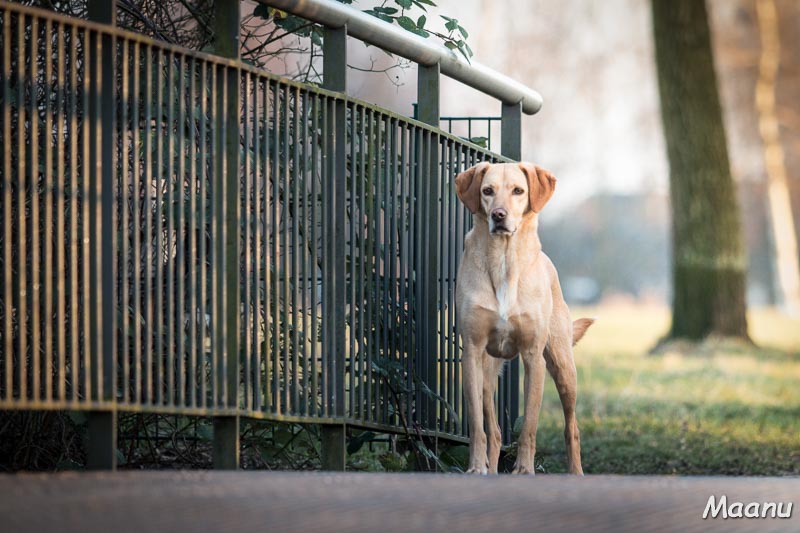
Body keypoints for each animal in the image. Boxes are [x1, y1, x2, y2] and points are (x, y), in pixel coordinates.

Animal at [454, 161, 592, 474]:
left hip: (563, 368)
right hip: (487, 372)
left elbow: (529, 424)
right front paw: (476, 467)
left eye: (518, 191)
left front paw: (525, 469)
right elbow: (477, 425)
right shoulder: (472, 352)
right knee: (494, 431)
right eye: (487, 191)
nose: (498, 215)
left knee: (572, 427)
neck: (504, 261)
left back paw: (576, 471)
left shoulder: (533, 356)